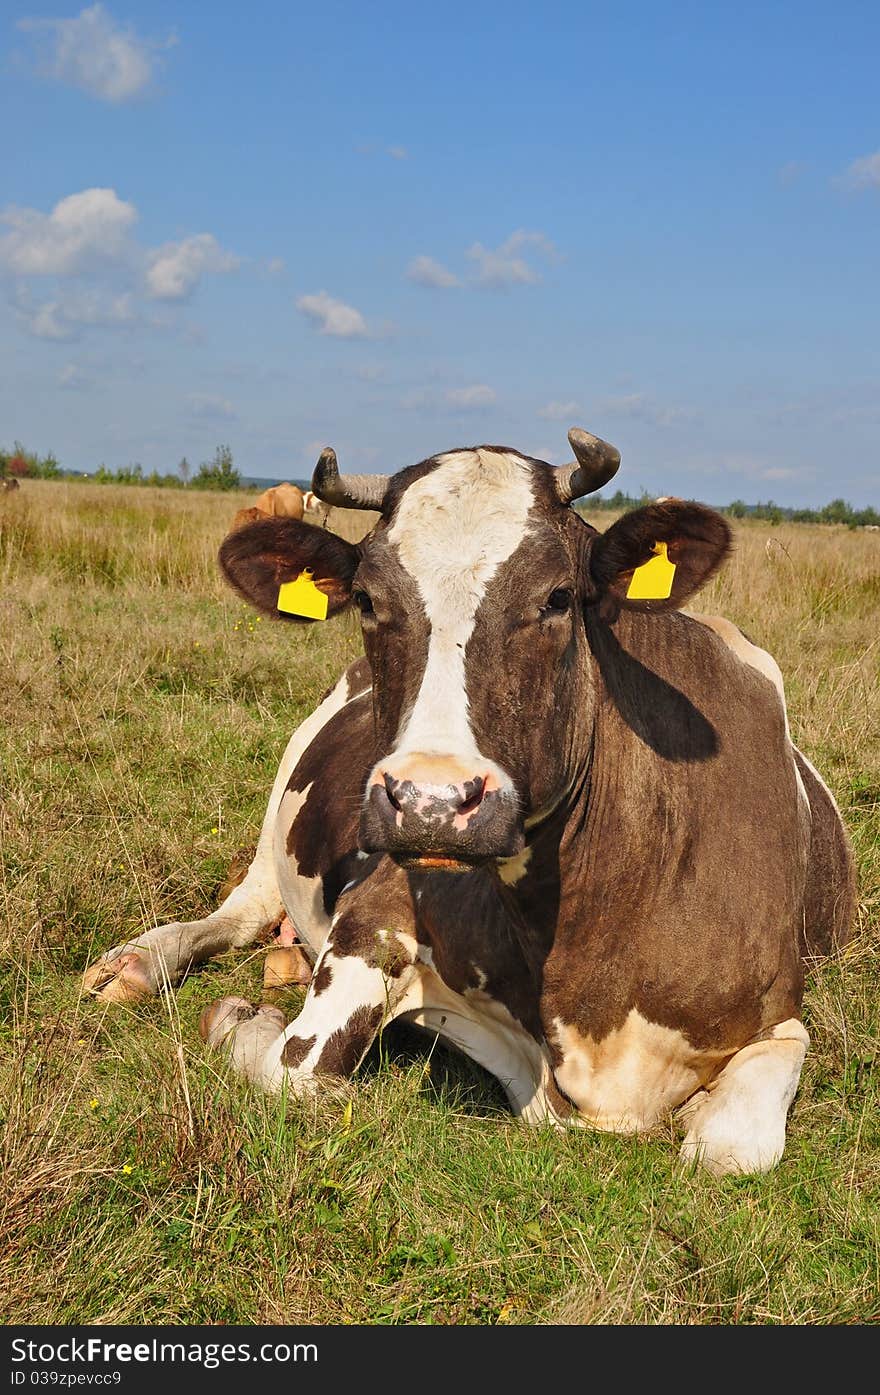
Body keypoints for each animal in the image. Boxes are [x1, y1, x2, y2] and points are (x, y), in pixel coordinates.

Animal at [82, 426, 853, 1177]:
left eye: (558, 597)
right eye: (367, 600)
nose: (429, 802)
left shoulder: (780, 1013)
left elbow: (731, 1149)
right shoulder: (376, 909)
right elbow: (290, 1070)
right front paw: (245, 1021)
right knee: (237, 913)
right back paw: (136, 962)